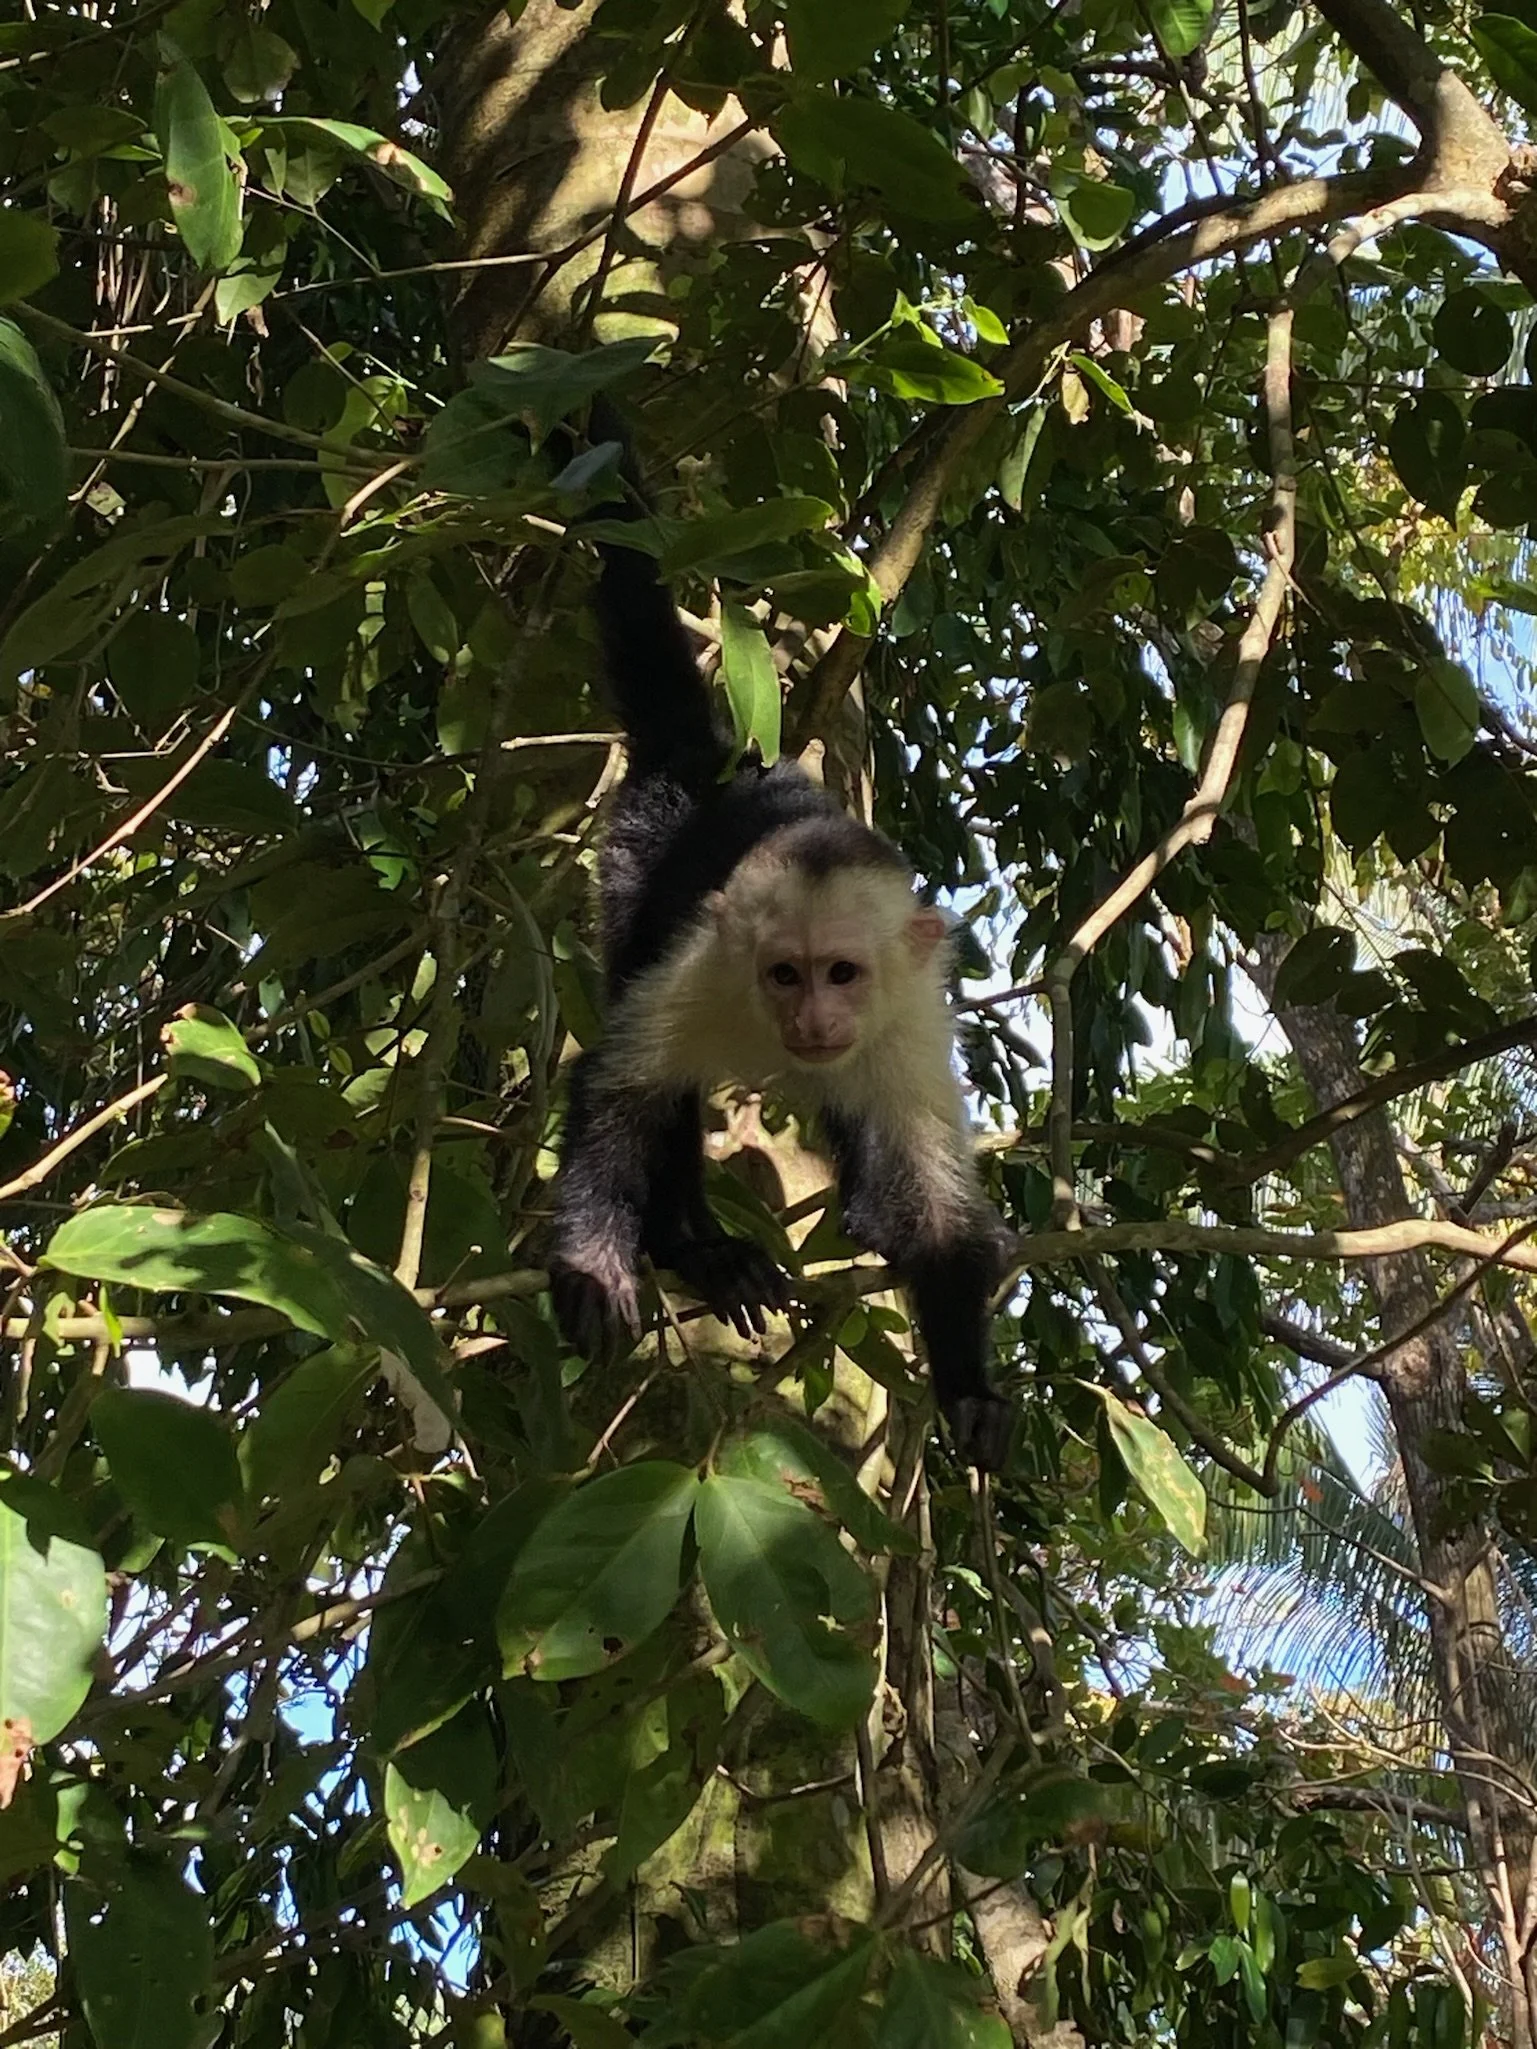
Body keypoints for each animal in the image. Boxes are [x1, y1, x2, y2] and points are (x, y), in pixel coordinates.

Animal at [546, 468, 1015, 1472]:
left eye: (841, 974)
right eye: (783, 975)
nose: (811, 1022)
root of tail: (711, 760)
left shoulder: (909, 1016)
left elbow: (937, 1212)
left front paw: (970, 1391)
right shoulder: (708, 969)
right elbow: (619, 1087)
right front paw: (597, 1260)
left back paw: (861, 1213)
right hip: (636, 860)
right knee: (660, 1073)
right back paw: (693, 1247)